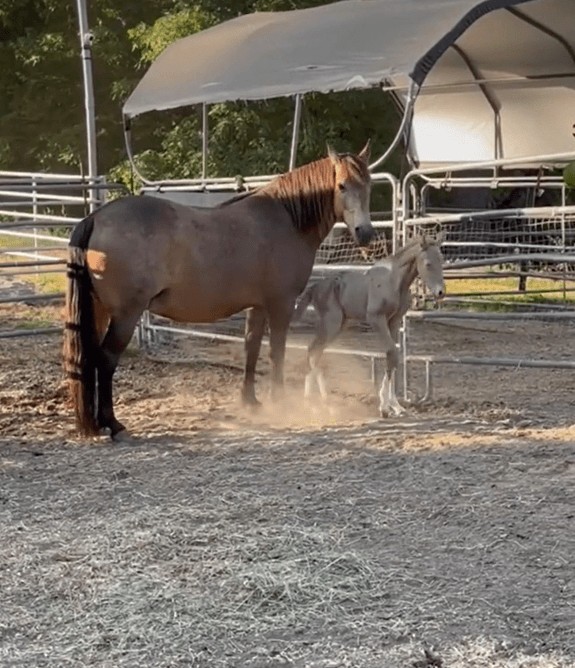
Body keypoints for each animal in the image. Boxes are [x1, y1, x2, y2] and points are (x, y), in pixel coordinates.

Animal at [65, 144, 376, 440]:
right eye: (342, 186)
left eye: (368, 185)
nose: (366, 233)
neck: (286, 219)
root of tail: (96, 217)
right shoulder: (281, 303)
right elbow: (277, 352)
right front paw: (280, 402)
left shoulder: (258, 306)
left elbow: (252, 349)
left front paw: (251, 402)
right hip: (126, 315)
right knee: (106, 360)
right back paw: (113, 424)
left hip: (101, 311)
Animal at [292, 232, 446, 414]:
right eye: (428, 264)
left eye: (442, 260)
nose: (441, 292)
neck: (394, 281)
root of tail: (315, 287)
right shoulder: (376, 318)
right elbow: (391, 353)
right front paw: (384, 406)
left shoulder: (394, 321)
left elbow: (394, 356)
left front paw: (396, 405)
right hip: (332, 323)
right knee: (313, 350)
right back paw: (320, 400)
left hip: (339, 325)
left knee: (315, 351)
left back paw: (313, 400)